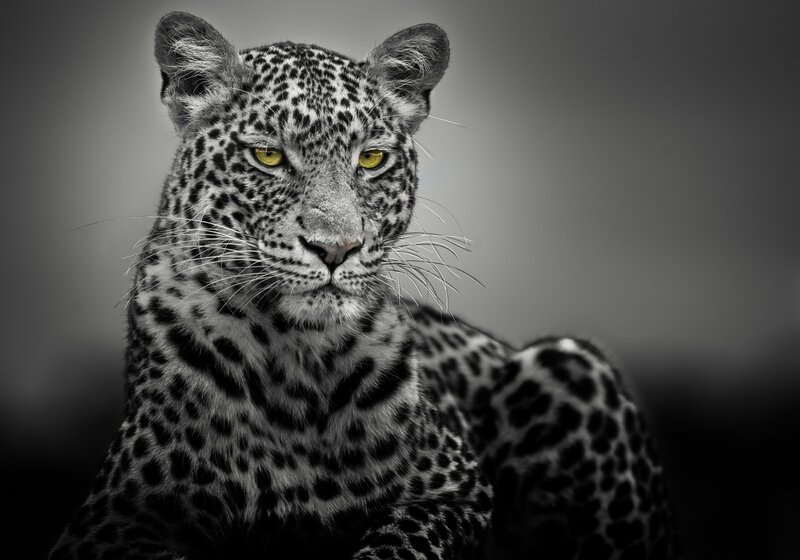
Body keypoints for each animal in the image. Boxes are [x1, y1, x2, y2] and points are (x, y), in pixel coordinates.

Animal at [49, 12, 680, 560]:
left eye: (372, 159)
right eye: (268, 155)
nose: (336, 248)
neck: (295, 357)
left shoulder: (456, 488)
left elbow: (397, 545)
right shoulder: (111, 521)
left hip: (570, 363)